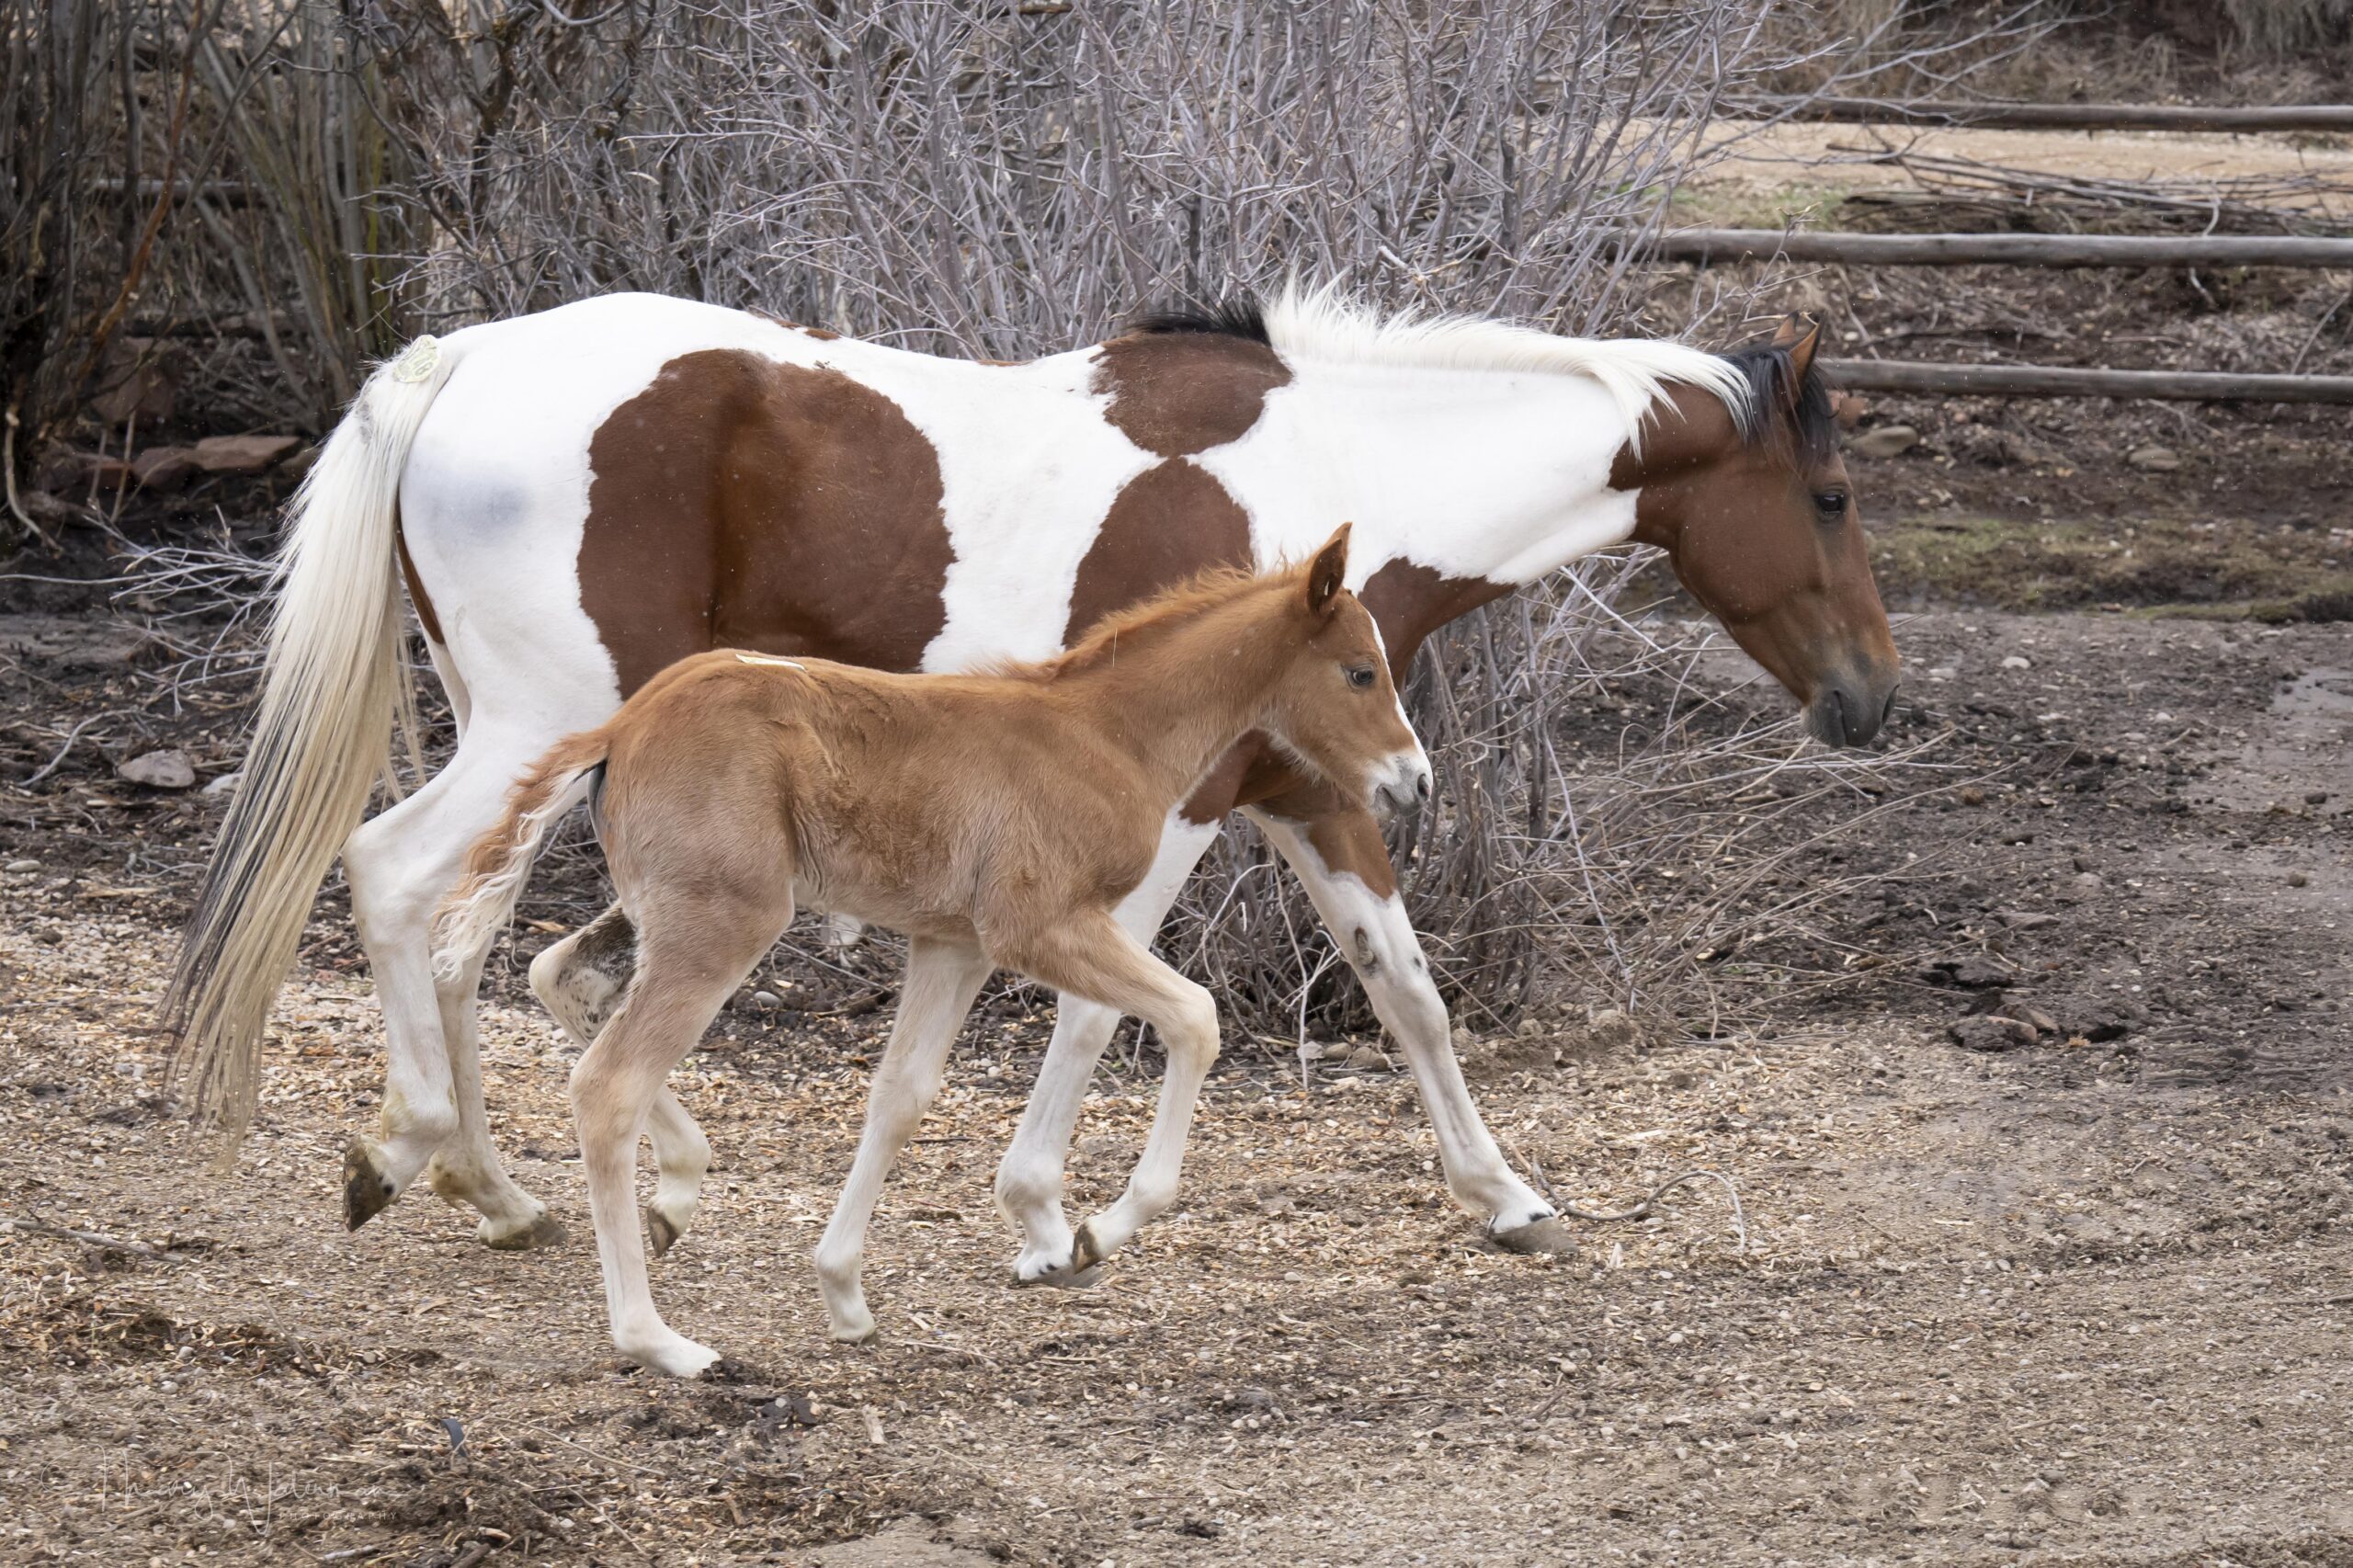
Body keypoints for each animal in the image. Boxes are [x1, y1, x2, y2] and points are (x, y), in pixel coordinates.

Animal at [165, 287, 1892, 1280]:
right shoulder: (1178, 808)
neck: (1336, 487)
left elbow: (1403, 989)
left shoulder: (1305, 787)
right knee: (398, 879)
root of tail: (453, 362)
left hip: (534, 734)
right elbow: (1100, 1008)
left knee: (478, 939)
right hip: (537, 717)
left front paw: (1506, 1193)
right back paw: (420, 1153)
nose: (1873, 700)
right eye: (1829, 493)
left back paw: (512, 1190)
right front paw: (1062, 1216)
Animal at [433, 527, 1421, 1365]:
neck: (1107, 733)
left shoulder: (954, 944)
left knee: (555, 974)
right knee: (608, 1083)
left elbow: (900, 1095)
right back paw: (655, 1339)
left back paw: (675, 1194)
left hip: (667, 910)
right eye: (1360, 672)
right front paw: (1094, 1234)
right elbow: (1196, 1017)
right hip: (726, 921)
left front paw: (844, 1293)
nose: (1414, 781)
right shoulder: (1036, 923)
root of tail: (619, 727)